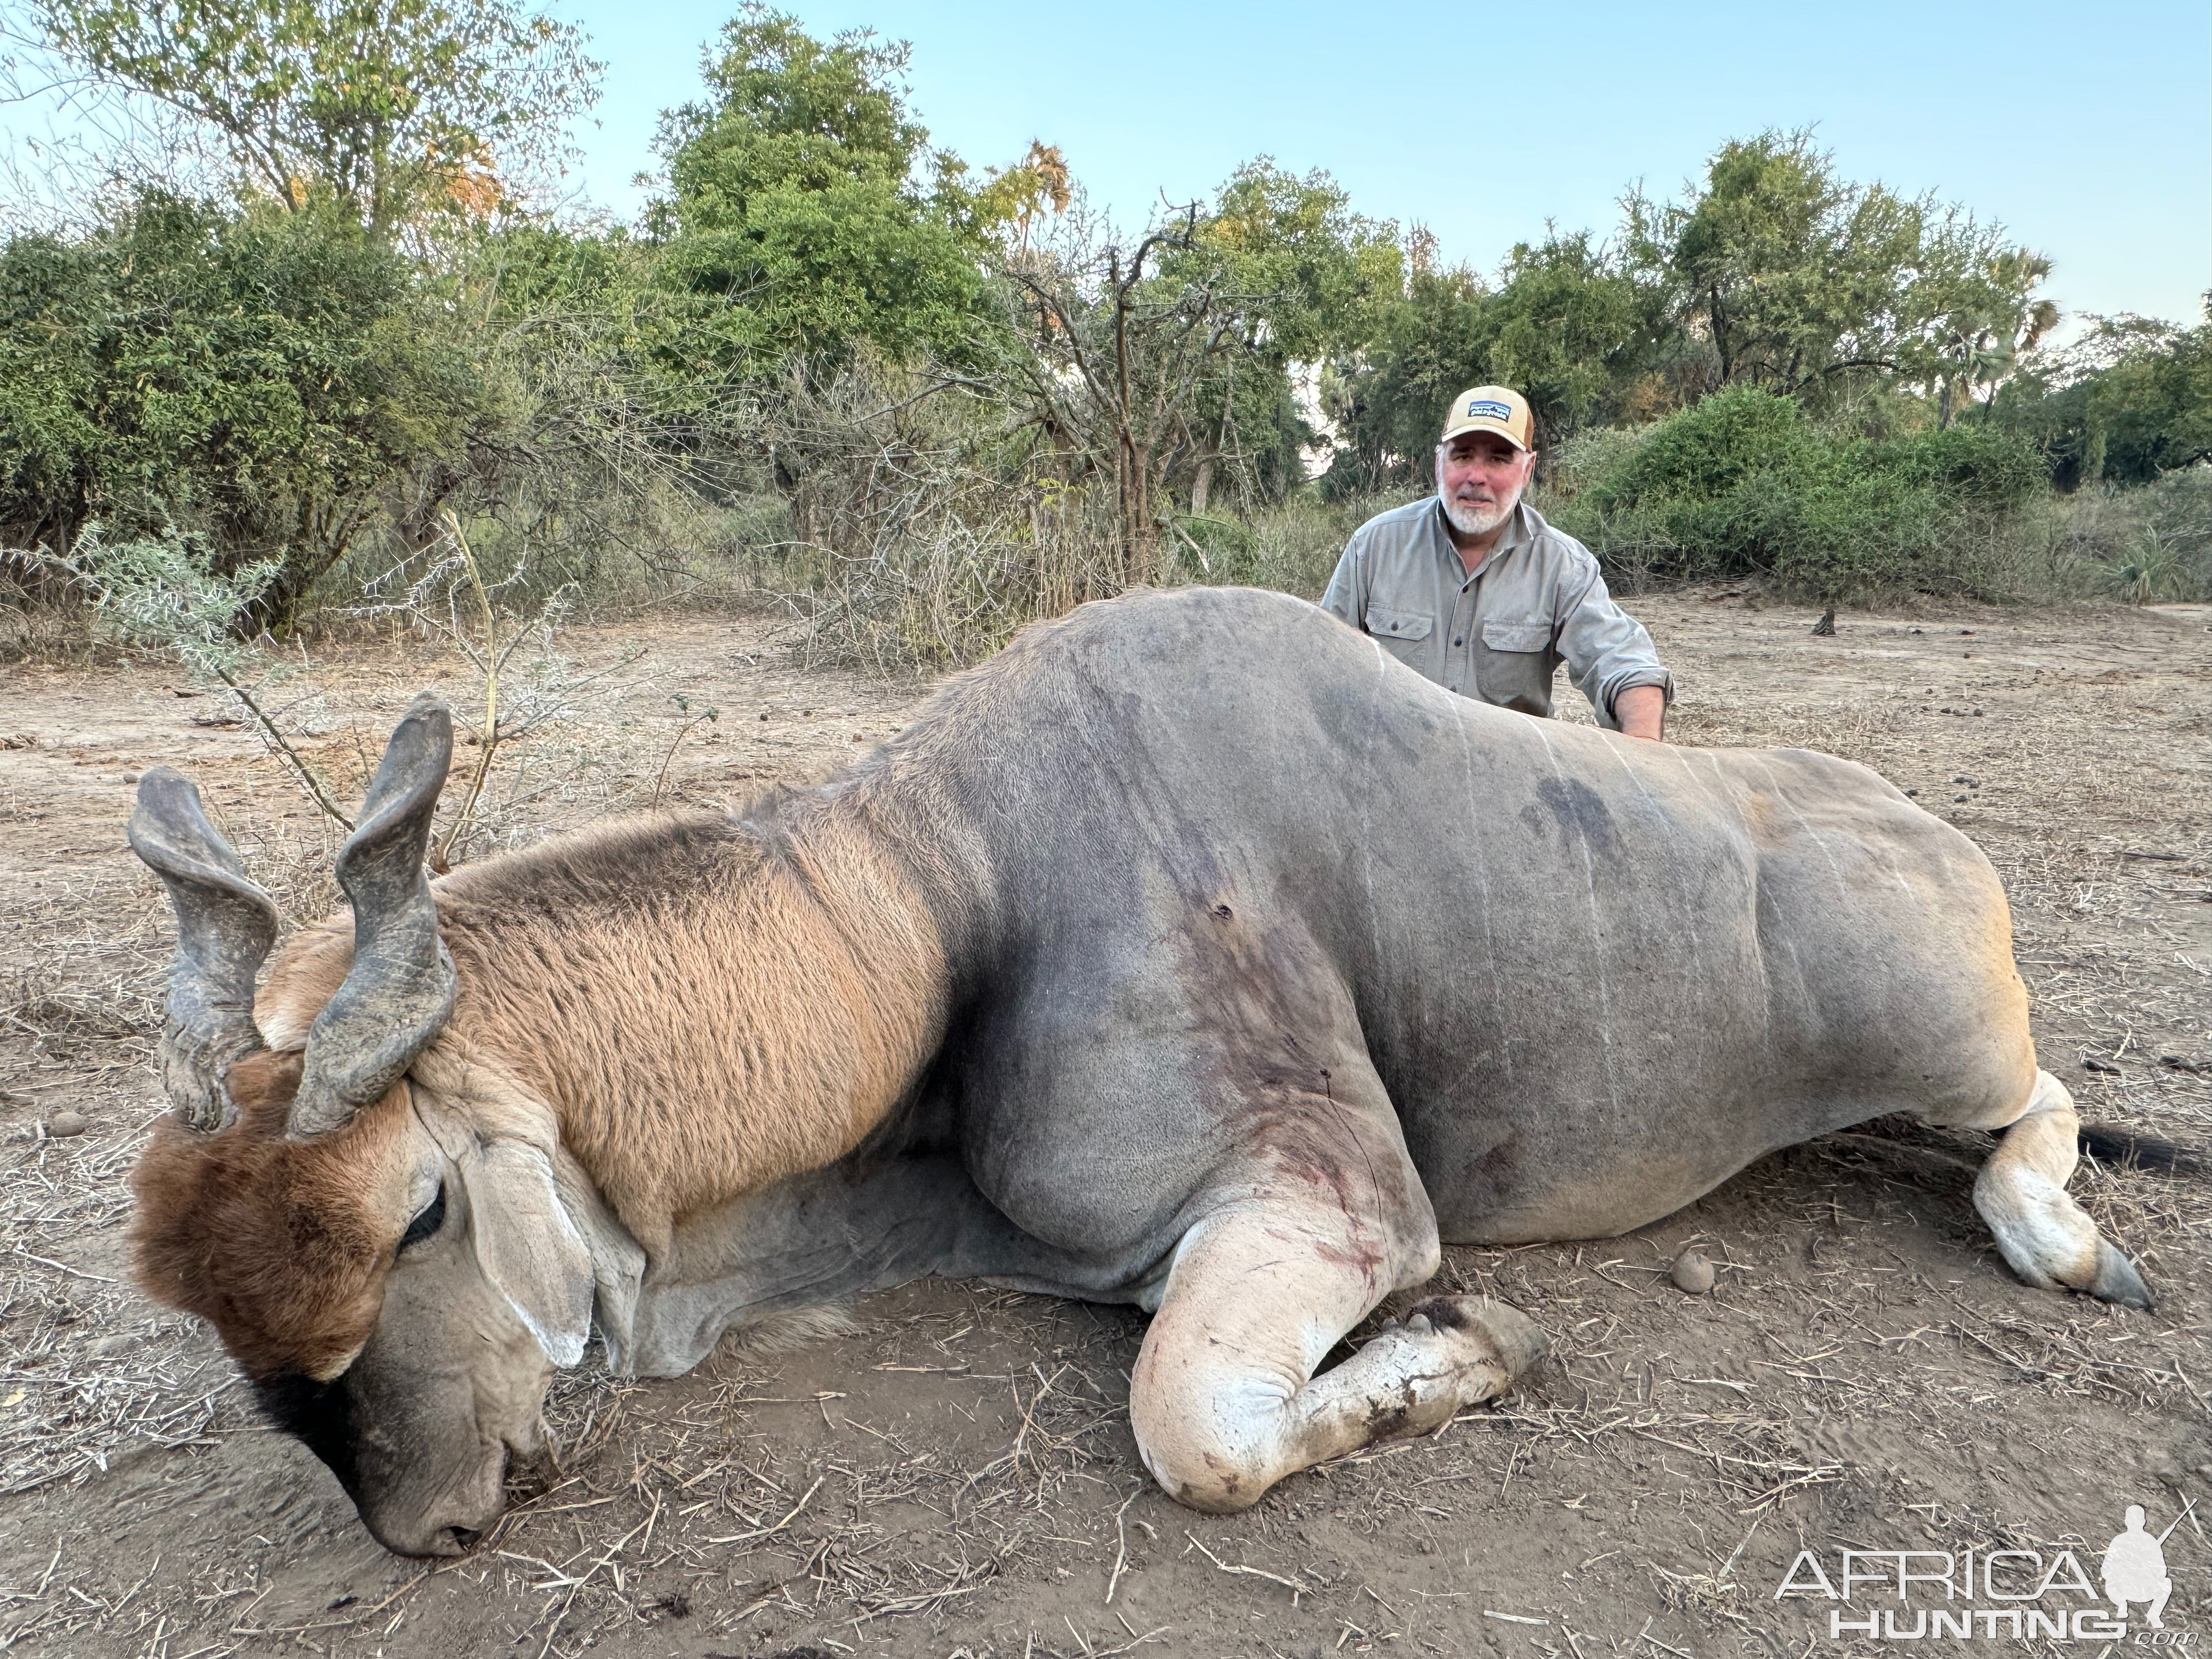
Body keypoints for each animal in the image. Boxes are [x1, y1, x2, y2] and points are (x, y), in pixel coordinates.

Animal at [121, 588, 2141, 1557]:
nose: (420, 1522)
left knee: (2032, 1112)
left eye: (422, 1212)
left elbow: (1199, 1429)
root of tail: (1931, 835)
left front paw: (1470, 1345)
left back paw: (2072, 1244)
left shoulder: (1335, 1201)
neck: (958, 890)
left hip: (1938, 1040)